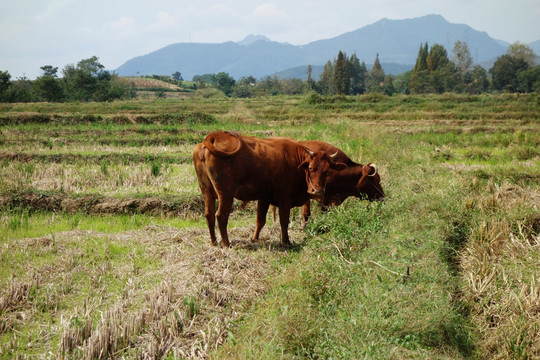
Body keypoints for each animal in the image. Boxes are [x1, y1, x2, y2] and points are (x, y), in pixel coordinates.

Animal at [192, 132, 348, 248]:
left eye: (327, 171)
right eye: (310, 168)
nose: (318, 191)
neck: (296, 160)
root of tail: (210, 139)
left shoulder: (264, 197)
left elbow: (260, 221)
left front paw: (254, 239)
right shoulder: (285, 198)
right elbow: (284, 220)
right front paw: (286, 241)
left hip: (206, 190)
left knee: (209, 215)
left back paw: (213, 242)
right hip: (226, 194)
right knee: (221, 216)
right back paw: (226, 244)